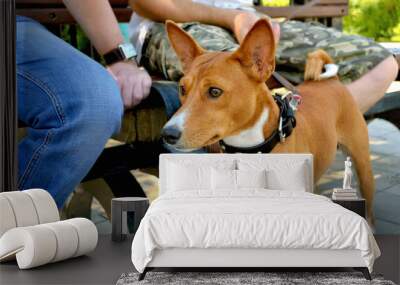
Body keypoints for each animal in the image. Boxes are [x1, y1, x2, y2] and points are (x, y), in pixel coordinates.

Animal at [160, 19, 376, 217]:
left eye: (214, 91)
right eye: (182, 89)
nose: (167, 134)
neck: (247, 147)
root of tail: (332, 81)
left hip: (362, 163)